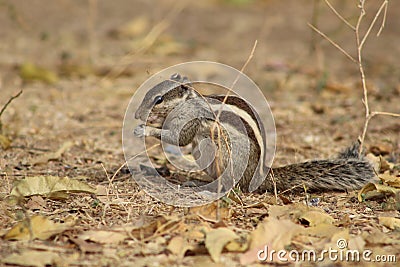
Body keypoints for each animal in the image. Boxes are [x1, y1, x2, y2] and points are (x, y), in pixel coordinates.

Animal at [134, 73, 376, 194]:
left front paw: (144, 129)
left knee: (232, 185)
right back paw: (196, 183)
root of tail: (258, 176)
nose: (137, 114)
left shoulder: (191, 121)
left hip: (222, 153)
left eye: (158, 99)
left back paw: (208, 190)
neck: (187, 102)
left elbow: (179, 138)